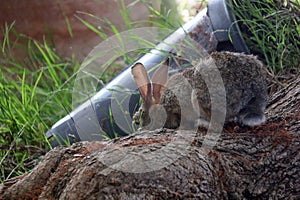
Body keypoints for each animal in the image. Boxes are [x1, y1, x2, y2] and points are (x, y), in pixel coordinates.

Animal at [131, 50, 268, 130]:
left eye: (143, 113)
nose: (140, 125)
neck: (161, 101)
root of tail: (254, 93)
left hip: (201, 97)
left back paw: (200, 123)